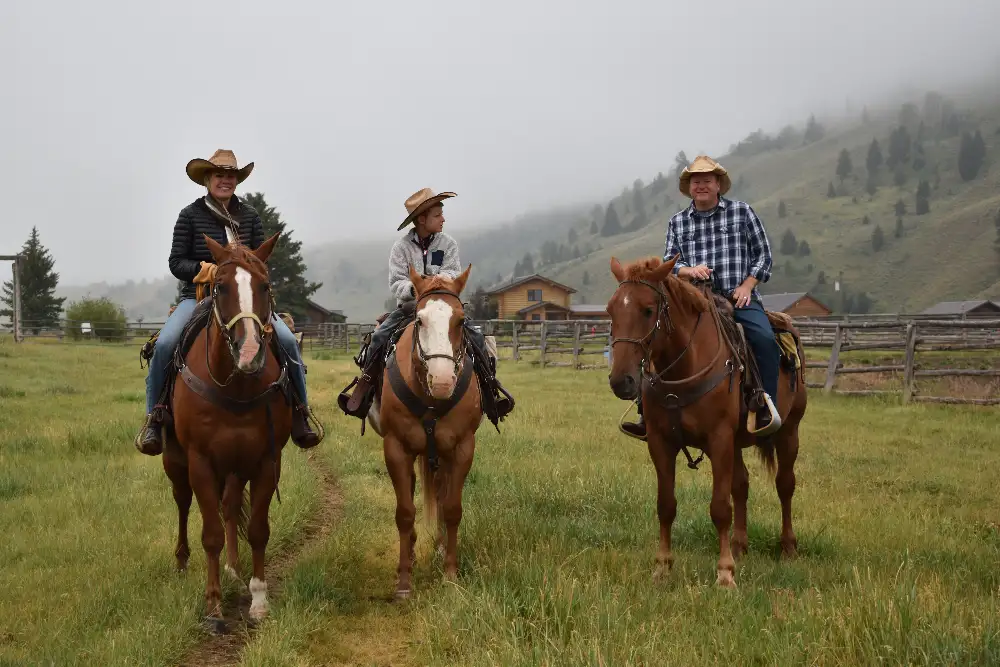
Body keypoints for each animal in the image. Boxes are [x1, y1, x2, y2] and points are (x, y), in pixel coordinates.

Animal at [162, 234, 292, 628]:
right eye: (219, 287)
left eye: (265, 286)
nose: (249, 352)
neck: (237, 386)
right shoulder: (200, 462)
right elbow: (211, 535)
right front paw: (213, 606)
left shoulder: (267, 460)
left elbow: (258, 530)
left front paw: (259, 600)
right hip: (176, 462)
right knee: (182, 502)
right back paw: (182, 562)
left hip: (235, 467)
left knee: (231, 506)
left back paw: (234, 571)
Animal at [368, 262, 484, 600]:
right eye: (420, 320)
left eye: (460, 320)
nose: (443, 381)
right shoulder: (396, 449)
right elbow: (405, 513)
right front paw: (404, 582)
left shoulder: (462, 448)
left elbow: (452, 508)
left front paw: (451, 574)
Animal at [604, 256, 808, 588]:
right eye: (611, 310)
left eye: (648, 310)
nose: (622, 381)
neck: (686, 366)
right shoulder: (661, 444)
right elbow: (666, 505)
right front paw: (662, 567)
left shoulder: (719, 439)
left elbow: (720, 508)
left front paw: (725, 573)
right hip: (737, 444)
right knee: (741, 485)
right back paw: (739, 545)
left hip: (789, 431)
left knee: (785, 484)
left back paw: (788, 547)